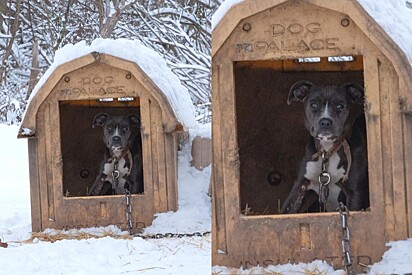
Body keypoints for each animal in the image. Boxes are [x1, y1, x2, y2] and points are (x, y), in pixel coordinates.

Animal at [282, 81, 368, 215]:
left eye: (339, 106)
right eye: (314, 105)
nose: (325, 121)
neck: (328, 151)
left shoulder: (355, 192)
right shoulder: (300, 186)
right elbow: (286, 211)